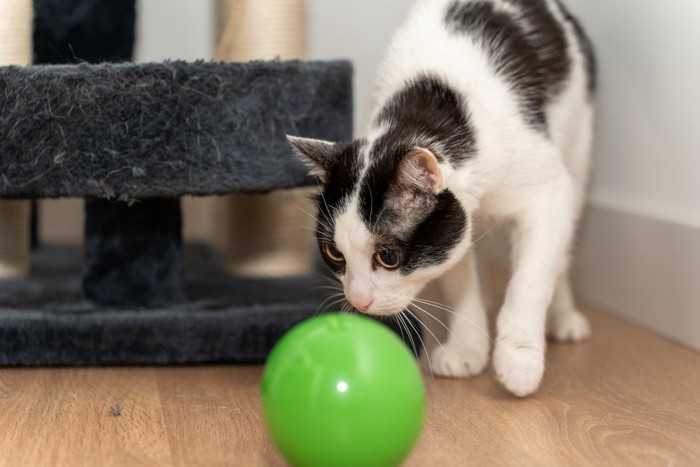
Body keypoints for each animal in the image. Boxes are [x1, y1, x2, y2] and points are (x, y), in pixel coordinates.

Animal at [288, 0, 592, 398]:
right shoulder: (455, 221)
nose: (358, 300)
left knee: (563, 246)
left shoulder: (546, 190)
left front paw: (519, 358)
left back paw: (563, 315)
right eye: (334, 253)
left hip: (578, 143)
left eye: (388, 257)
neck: (427, 109)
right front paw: (467, 347)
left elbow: (531, 279)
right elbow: (457, 272)